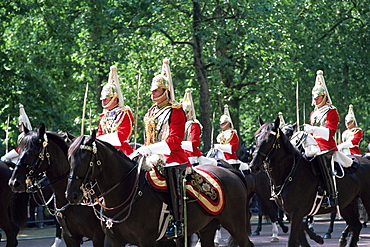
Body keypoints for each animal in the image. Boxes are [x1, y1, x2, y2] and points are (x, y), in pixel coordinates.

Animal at [65, 133, 253, 247]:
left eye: (84, 159)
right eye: (69, 158)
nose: (71, 195)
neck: (126, 193)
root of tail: (231, 172)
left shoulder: (147, 240)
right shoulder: (113, 240)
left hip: (235, 224)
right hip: (207, 227)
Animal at [250, 117, 370, 247]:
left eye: (269, 139)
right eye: (257, 137)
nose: (253, 166)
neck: (289, 172)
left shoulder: (296, 212)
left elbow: (293, 240)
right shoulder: (290, 213)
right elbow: (302, 237)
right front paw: (317, 237)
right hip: (347, 204)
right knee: (356, 226)